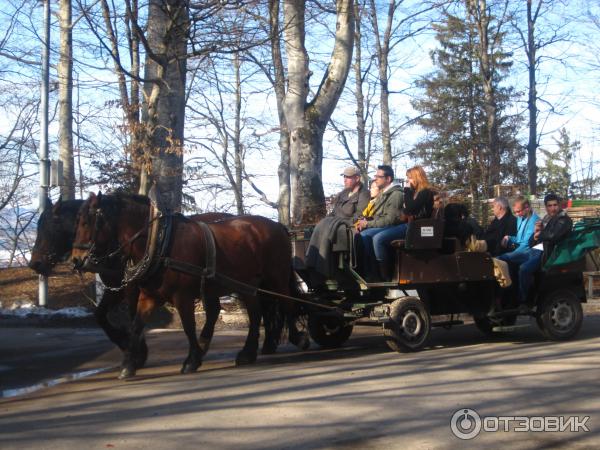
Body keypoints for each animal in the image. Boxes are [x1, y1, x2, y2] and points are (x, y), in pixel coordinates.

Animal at [29, 196, 233, 370]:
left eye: (50, 227)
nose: (34, 263)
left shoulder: (131, 287)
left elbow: (132, 314)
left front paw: (136, 352)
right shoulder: (116, 288)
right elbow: (101, 315)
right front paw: (127, 344)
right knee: (214, 311)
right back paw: (202, 346)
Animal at [71, 192, 304, 378]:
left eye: (88, 222)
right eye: (77, 221)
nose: (76, 260)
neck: (160, 243)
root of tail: (278, 226)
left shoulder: (182, 296)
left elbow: (188, 326)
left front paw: (191, 360)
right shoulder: (149, 296)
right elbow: (136, 324)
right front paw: (129, 363)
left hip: (276, 278)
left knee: (287, 304)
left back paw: (297, 337)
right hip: (247, 284)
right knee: (256, 313)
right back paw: (248, 352)